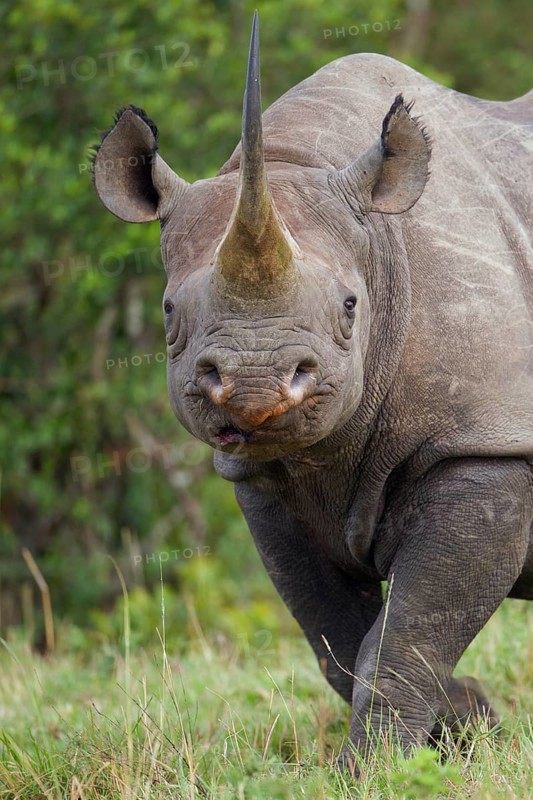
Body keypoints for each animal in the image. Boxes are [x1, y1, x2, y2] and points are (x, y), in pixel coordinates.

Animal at [93, 11, 533, 770]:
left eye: (351, 307)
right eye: (170, 315)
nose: (255, 382)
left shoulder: (485, 442)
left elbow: (406, 636)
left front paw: (374, 770)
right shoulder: (261, 476)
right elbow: (340, 643)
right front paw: (470, 726)